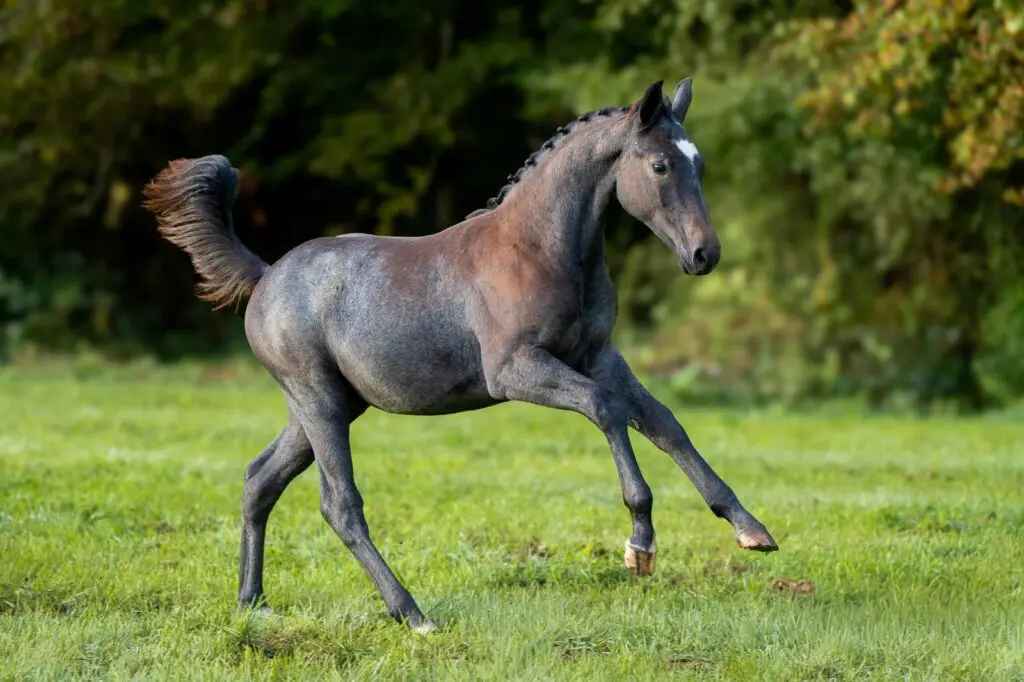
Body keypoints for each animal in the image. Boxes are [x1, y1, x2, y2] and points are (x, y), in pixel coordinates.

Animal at [143, 78, 778, 633]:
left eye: (700, 164)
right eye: (660, 165)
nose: (705, 254)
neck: (542, 249)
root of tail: (265, 274)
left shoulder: (598, 356)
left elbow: (665, 423)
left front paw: (750, 529)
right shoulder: (515, 371)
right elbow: (605, 409)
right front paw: (640, 542)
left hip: (330, 407)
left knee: (259, 480)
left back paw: (252, 603)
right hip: (317, 400)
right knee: (339, 504)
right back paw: (412, 614)